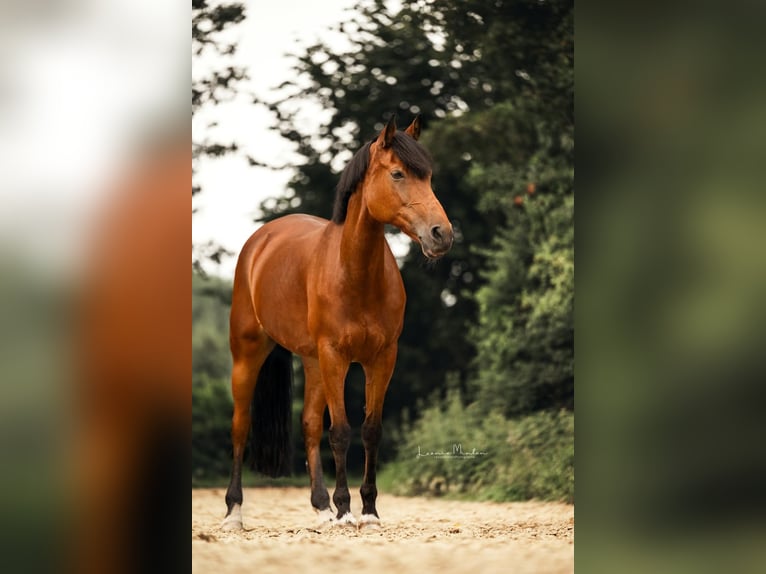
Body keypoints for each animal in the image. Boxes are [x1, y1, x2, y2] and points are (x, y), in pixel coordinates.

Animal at [222, 115, 452, 532]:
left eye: (428, 177)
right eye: (397, 173)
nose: (441, 234)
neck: (354, 274)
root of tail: (261, 240)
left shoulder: (382, 359)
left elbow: (370, 431)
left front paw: (369, 511)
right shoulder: (336, 357)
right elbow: (341, 432)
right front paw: (346, 510)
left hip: (313, 362)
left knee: (310, 424)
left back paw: (320, 507)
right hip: (249, 354)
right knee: (240, 426)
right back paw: (234, 512)